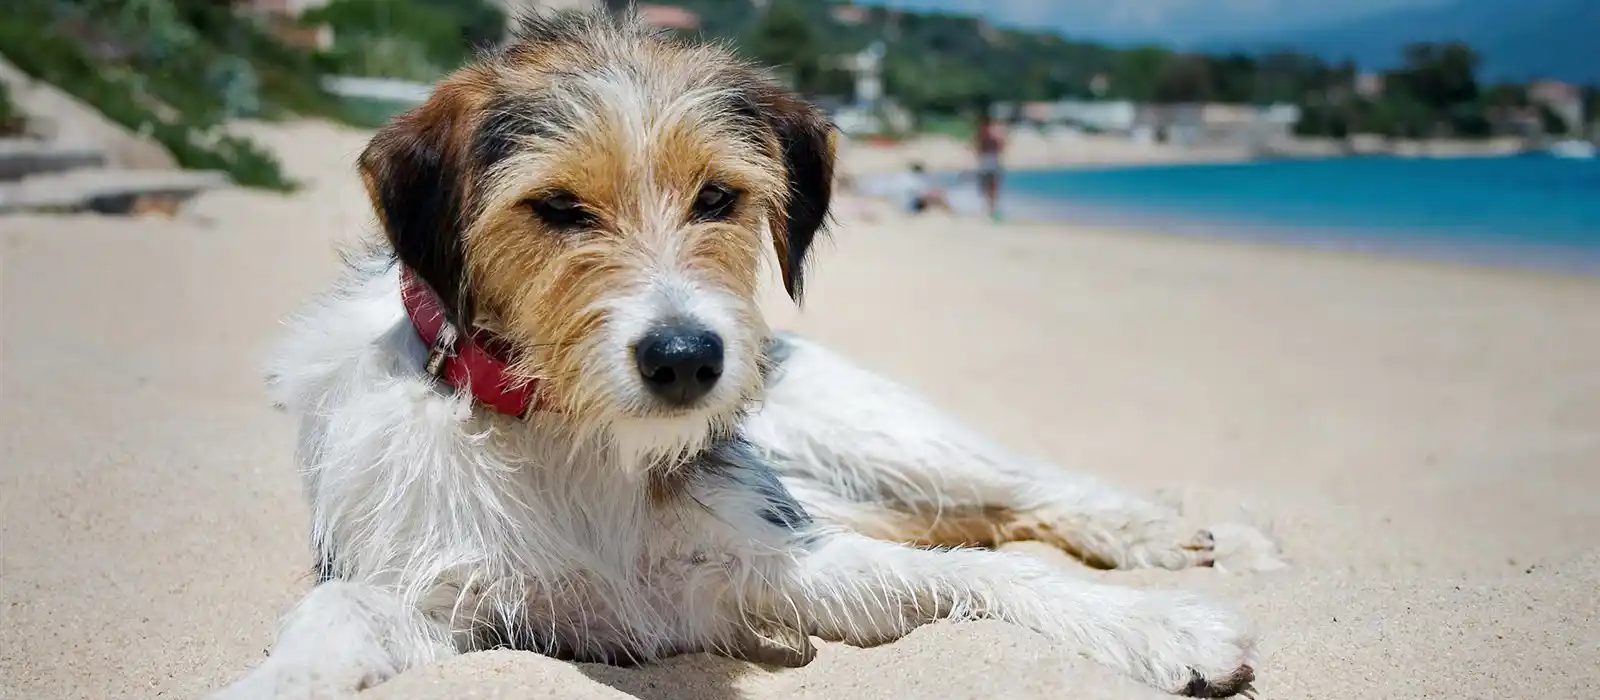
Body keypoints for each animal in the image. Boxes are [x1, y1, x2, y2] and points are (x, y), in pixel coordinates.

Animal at [212, 12, 1254, 700]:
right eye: (558, 208)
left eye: (716, 197)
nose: (686, 358)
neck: (575, 443)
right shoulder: (443, 598)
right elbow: (340, 613)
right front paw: (284, 678)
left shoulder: (778, 558)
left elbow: (987, 576)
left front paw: (1161, 625)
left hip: (878, 433)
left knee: (1022, 488)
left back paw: (1165, 535)